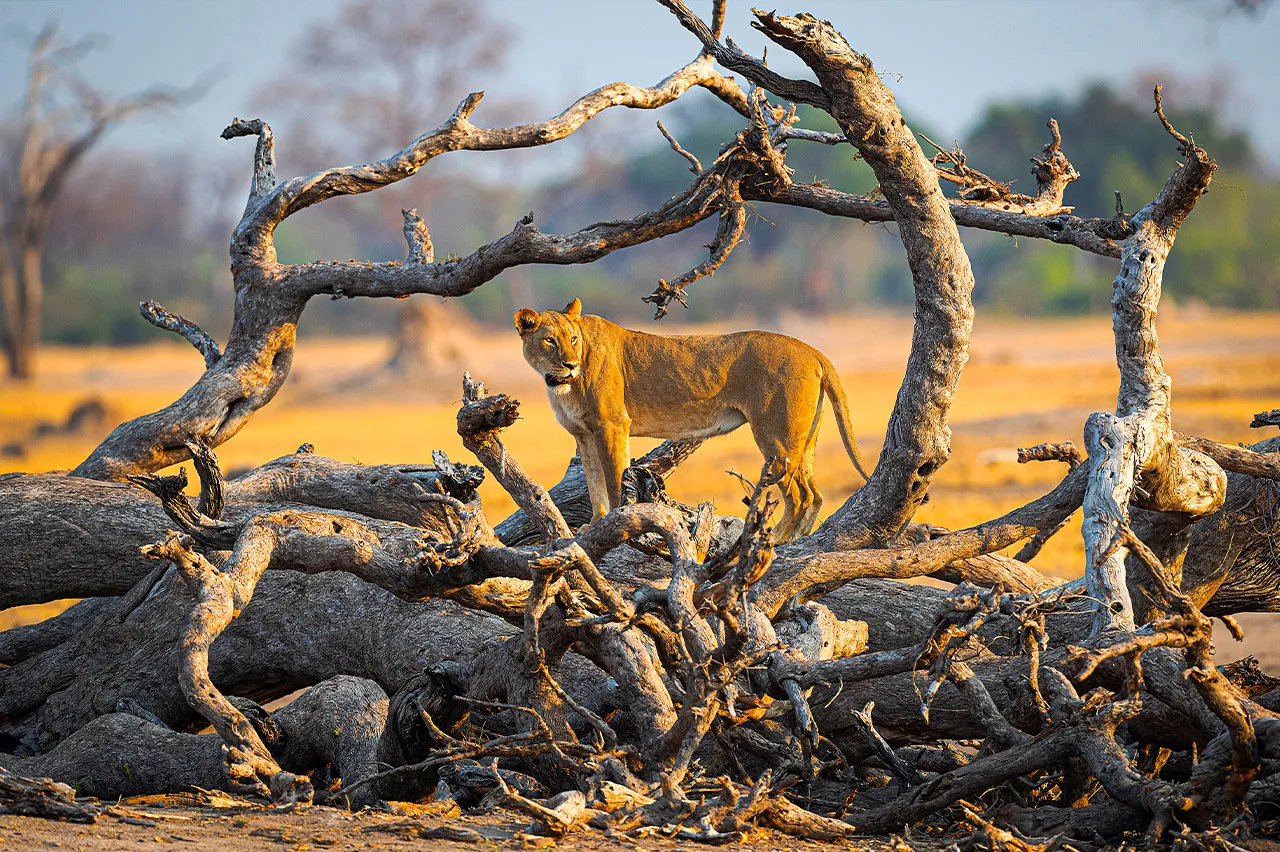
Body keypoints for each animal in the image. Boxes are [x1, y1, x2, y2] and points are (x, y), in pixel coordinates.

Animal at [514, 298, 871, 542]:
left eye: (572, 339)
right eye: (550, 340)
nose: (571, 363)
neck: (560, 383)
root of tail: (813, 351)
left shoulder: (612, 424)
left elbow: (614, 480)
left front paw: (616, 523)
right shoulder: (584, 435)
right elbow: (593, 483)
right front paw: (594, 524)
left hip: (776, 438)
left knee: (800, 496)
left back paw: (776, 541)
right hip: (804, 440)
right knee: (816, 493)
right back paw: (795, 542)